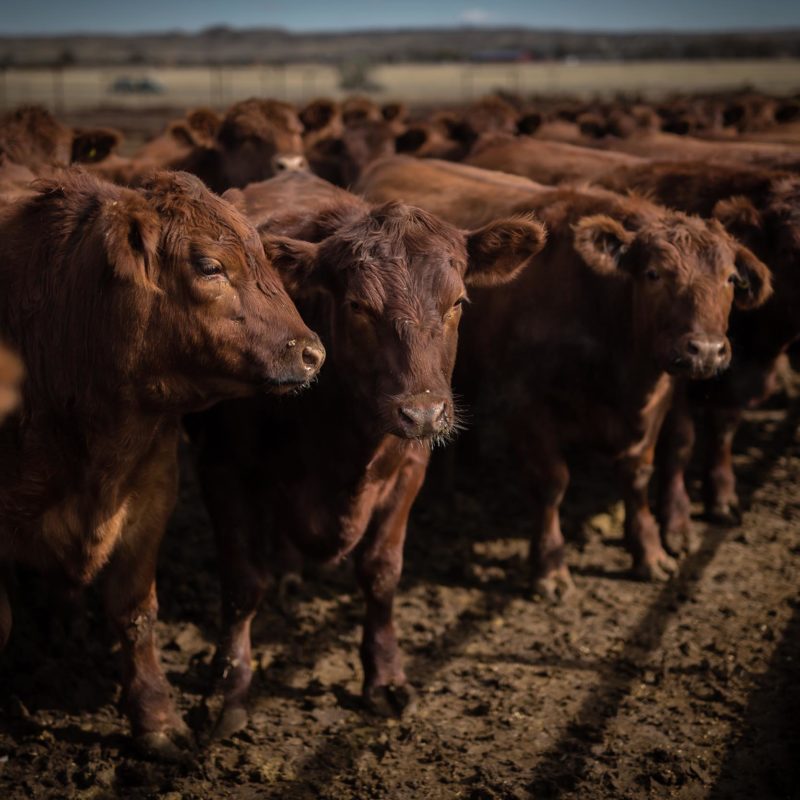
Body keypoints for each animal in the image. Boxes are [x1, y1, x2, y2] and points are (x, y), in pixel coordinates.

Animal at [191, 172, 548, 736]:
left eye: (458, 303)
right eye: (358, 306)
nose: (422, 413)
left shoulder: (408, 471)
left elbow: (381, 573)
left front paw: (384, 677)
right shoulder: (221, 468)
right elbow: (242, 584)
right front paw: (227, 687)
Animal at [596, 160, 800, 540]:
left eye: (732, 277)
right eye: (788, 250)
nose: (706, 348)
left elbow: (724, 430)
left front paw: (722, 497)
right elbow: (681, 442)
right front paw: (676, 521)